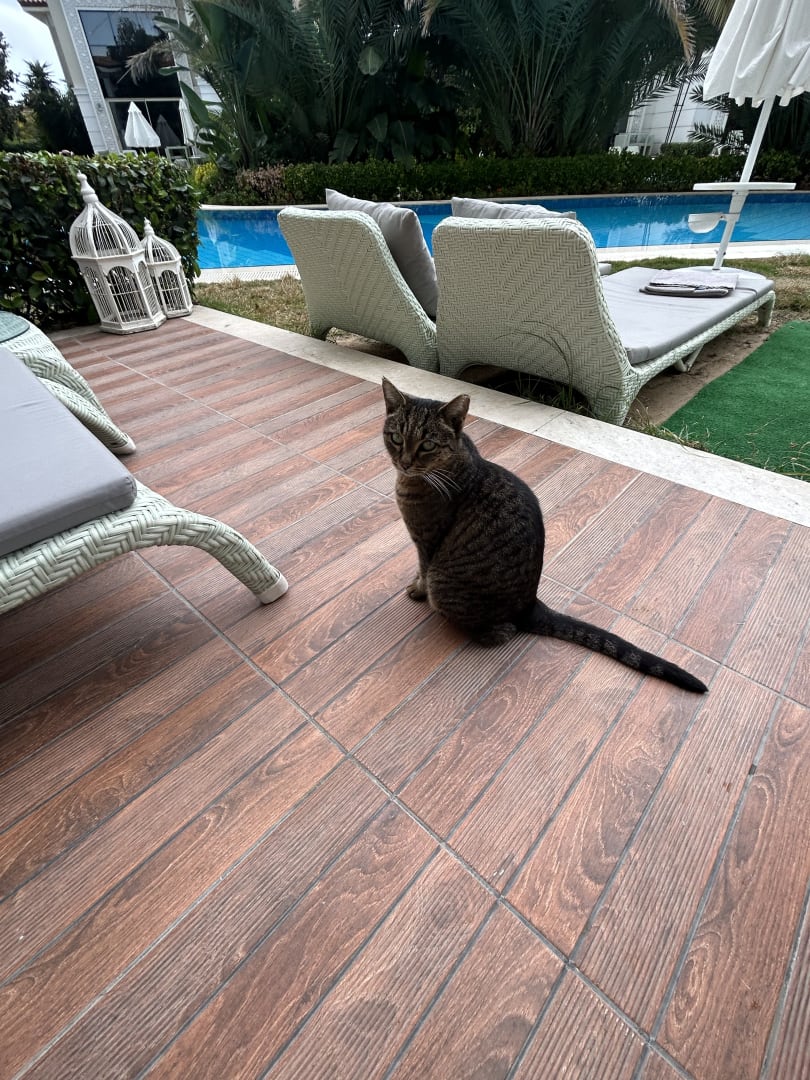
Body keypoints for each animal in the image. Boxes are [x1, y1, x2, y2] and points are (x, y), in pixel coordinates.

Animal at [381, 378, 707, 694]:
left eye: (427, 445)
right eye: (396, 438)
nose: (404, 462)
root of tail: (531, 606)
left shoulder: (426, 543)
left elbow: (422, 570)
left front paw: (417, 590)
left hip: (447, 583)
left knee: (501, 631)